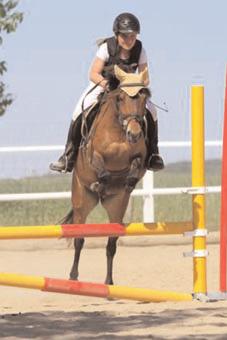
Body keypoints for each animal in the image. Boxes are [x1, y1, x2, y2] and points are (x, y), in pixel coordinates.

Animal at [63, 64, 153, 284]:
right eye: (120, 98)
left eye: (144, 98)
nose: (134, 134)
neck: (119, 133)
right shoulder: (92, 155)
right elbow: (101, 169)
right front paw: (100, 183)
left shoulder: (139, 157)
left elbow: (135, 166)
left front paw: (128, 181)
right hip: (82, 202)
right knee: (79, 240)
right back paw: (73, 277)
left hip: (116, 207)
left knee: (111, 244)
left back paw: (109, 282)